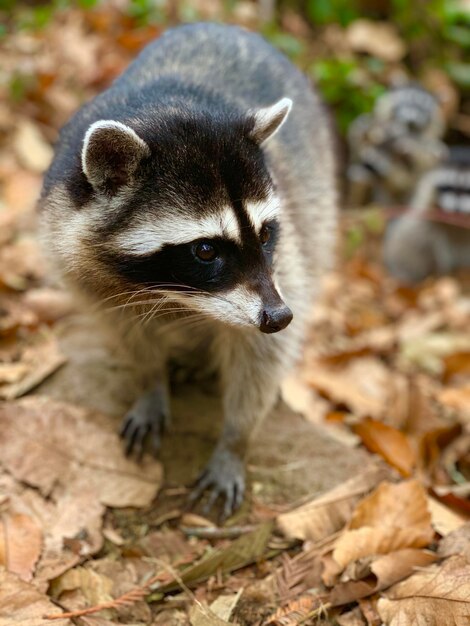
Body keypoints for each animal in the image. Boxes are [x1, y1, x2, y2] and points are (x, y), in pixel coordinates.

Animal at [38, 22, 336, 516]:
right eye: (205, 251)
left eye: (266, 234)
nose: (279, 316)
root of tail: (224, 25)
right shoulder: (76, 257)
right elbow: (126, 330)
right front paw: (150, 382)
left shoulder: (285, 260)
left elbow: (262, 355)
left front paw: (235, 440)